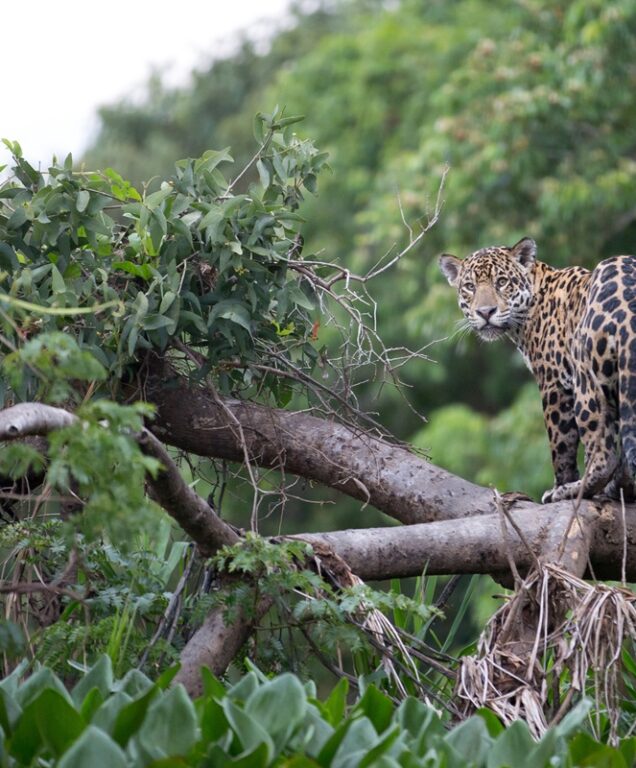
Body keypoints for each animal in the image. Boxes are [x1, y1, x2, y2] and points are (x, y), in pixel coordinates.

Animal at [439, 236, 636, 504]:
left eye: (502, 282)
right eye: (469, 286)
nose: (485, 312)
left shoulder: (554, 383)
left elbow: (561, 445)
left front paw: (561, 484)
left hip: (587, 382)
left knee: (603, 455)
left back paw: (572, 490)